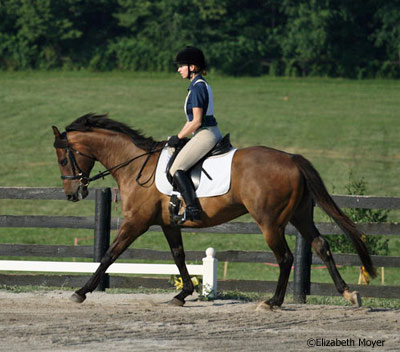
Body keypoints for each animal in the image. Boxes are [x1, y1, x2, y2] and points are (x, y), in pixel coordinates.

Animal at [52, 113, 376, 308]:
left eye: (63, 159)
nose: (72, 193)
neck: (134, 165)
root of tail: (292, 159)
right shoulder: (168, 223)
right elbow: (178, 256)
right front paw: (183, 294)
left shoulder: (136, 222)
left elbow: (109, 254)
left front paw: (81, 291)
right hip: (300, 215)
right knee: (321, 245)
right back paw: (349, 293)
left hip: (270, 222)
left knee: (285, 257)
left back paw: (273, 301)